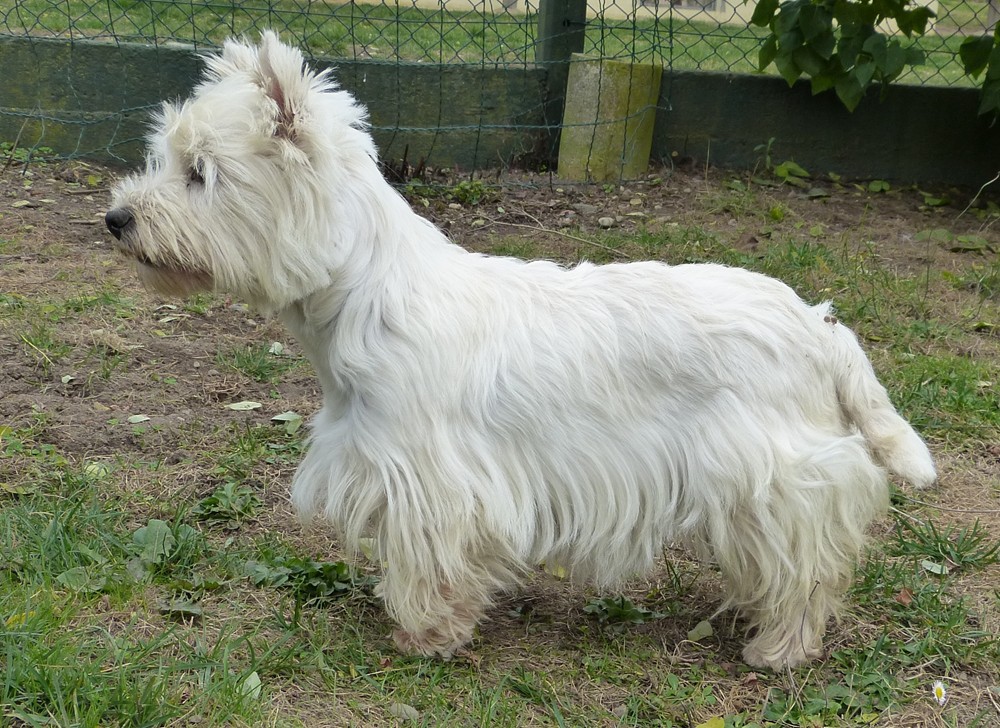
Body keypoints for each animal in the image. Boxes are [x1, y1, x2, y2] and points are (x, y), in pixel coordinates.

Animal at [105, 32, 936, 669]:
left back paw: (779, 647)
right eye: (165, 159)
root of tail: (818, 324)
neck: (364, 292)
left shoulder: (428, 476)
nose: (116, 218)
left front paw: (426, 633)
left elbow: (429, 557)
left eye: (201, 173)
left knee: (810, 565)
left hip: (774, 475)